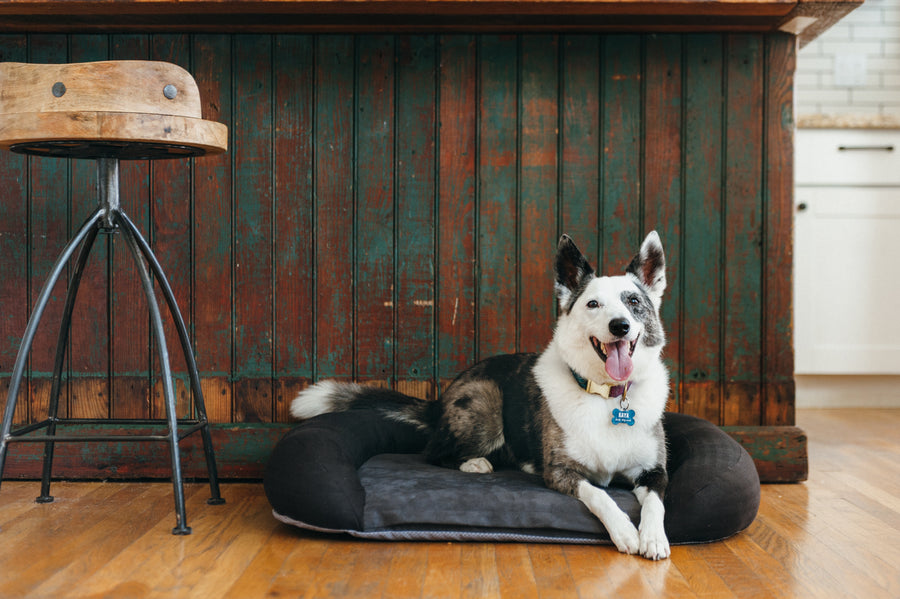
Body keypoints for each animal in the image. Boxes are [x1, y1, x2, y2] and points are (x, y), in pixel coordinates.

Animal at [292, 232, 672, 560]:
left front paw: (653, 537)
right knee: (433, 453)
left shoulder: (654, 471)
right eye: (593, 304)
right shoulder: (561, 472)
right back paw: (474, 462)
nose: (619, 326)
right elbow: (600, 494)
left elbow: (656, 501)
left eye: (633, 302)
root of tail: (441, 401)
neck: (607, 395)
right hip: (486, 403)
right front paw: (625, 530)